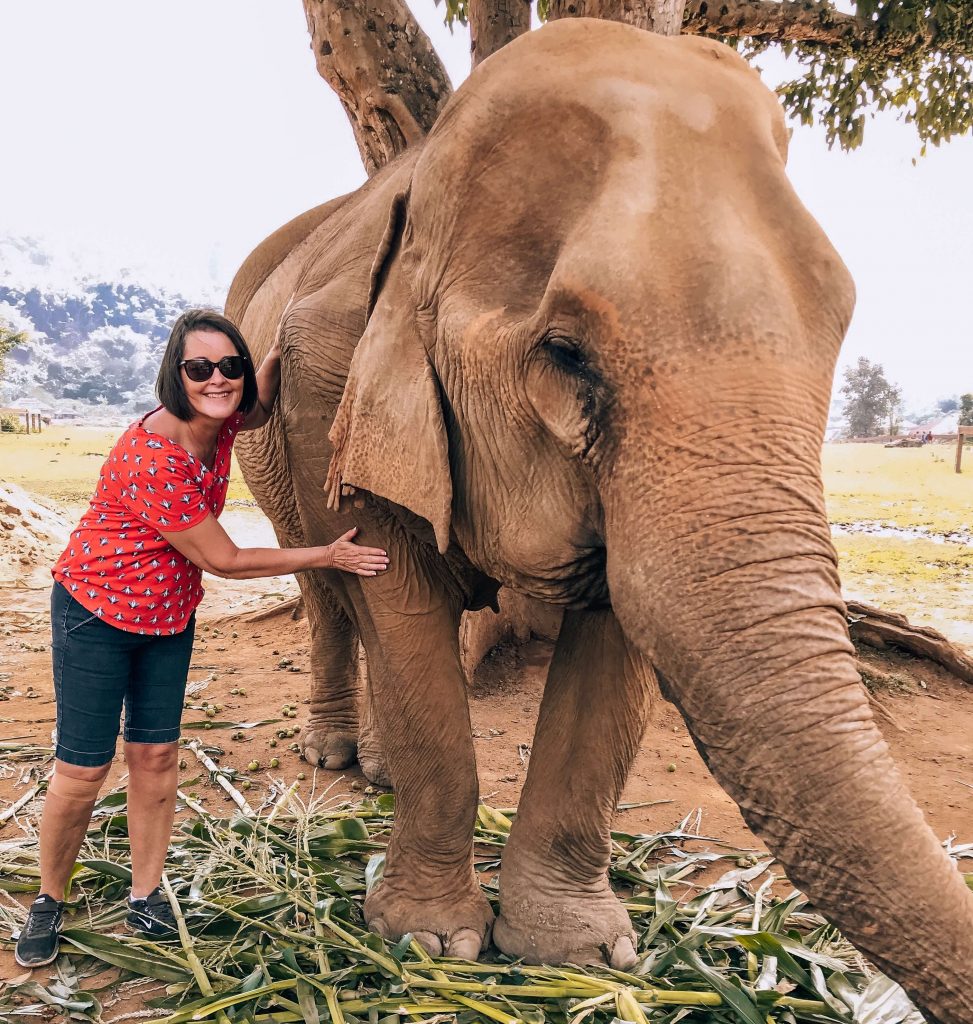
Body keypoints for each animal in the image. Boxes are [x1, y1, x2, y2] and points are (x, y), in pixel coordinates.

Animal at [227, 19, 973, 1024]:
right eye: (565, 353)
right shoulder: (329, 388)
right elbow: (399, 602)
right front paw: (425, 942)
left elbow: (614, 641)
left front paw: (576, 954)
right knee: (323, 588)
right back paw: (337, 751)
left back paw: (375, 768)